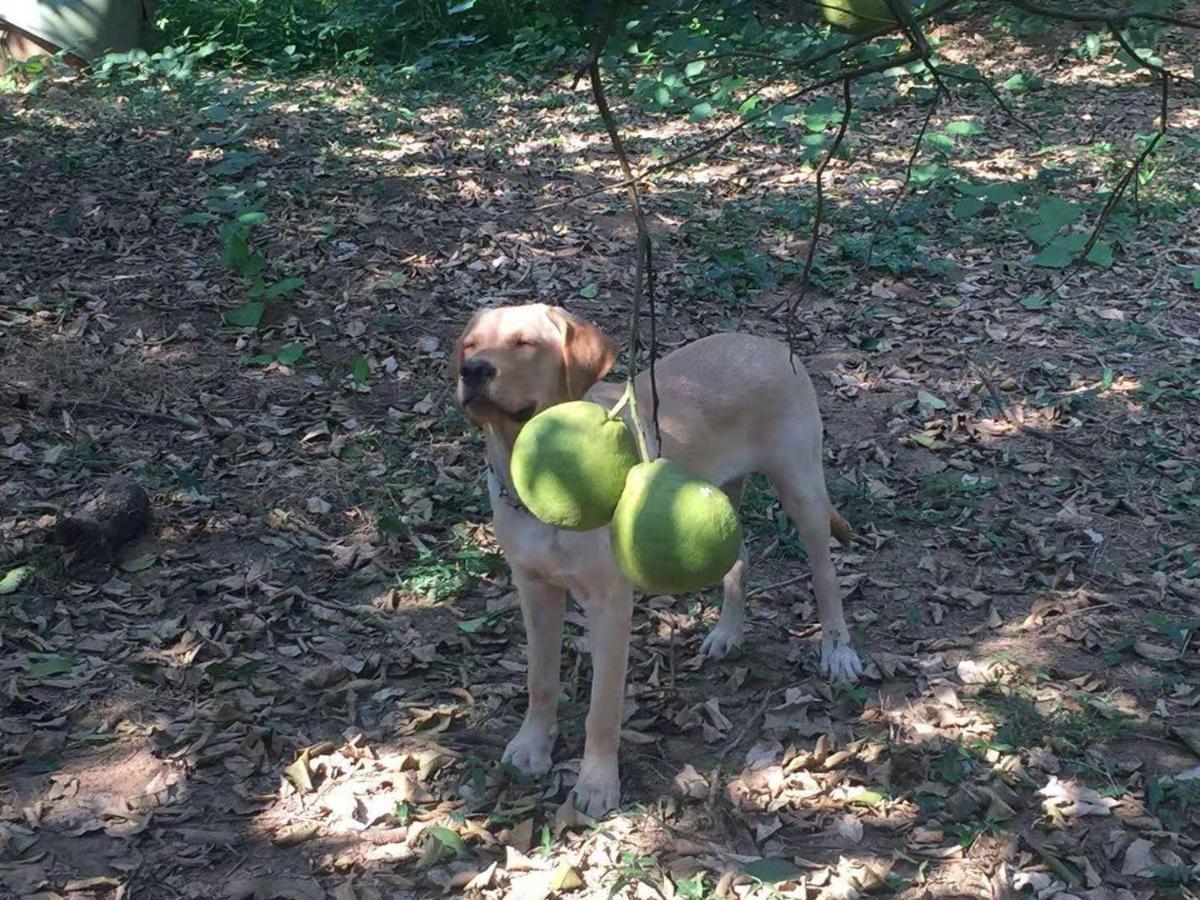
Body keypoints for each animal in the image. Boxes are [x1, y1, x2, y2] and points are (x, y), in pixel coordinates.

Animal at [451, 303, 864, 816]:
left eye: (524, 343)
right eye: (470, 345)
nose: (472, 371)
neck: (535, 481)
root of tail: (765, 341)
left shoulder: (610, 604)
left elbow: (602, 707)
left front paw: (596, 783)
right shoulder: (535, 589)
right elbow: (539, 679)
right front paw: (532, 747)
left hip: (801, 488)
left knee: (825, 575)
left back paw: (838, 651)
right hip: (716, 502)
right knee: (739, 558)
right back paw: (727, 633)